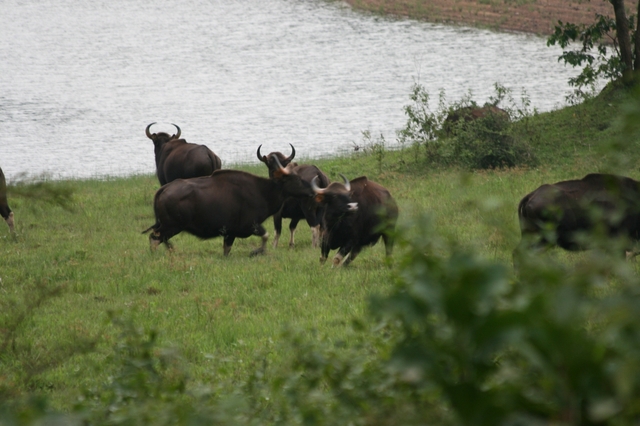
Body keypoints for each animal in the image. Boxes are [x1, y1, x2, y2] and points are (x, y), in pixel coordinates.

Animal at [144, 156, 316, 256]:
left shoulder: (230, 233)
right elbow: (266, 235)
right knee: (155, 238)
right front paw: (258, 251)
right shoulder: (251, 225)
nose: (312, 190)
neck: (263, 191)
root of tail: (163, 190)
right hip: (171, 226)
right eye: (296, 179)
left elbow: (227, 250)